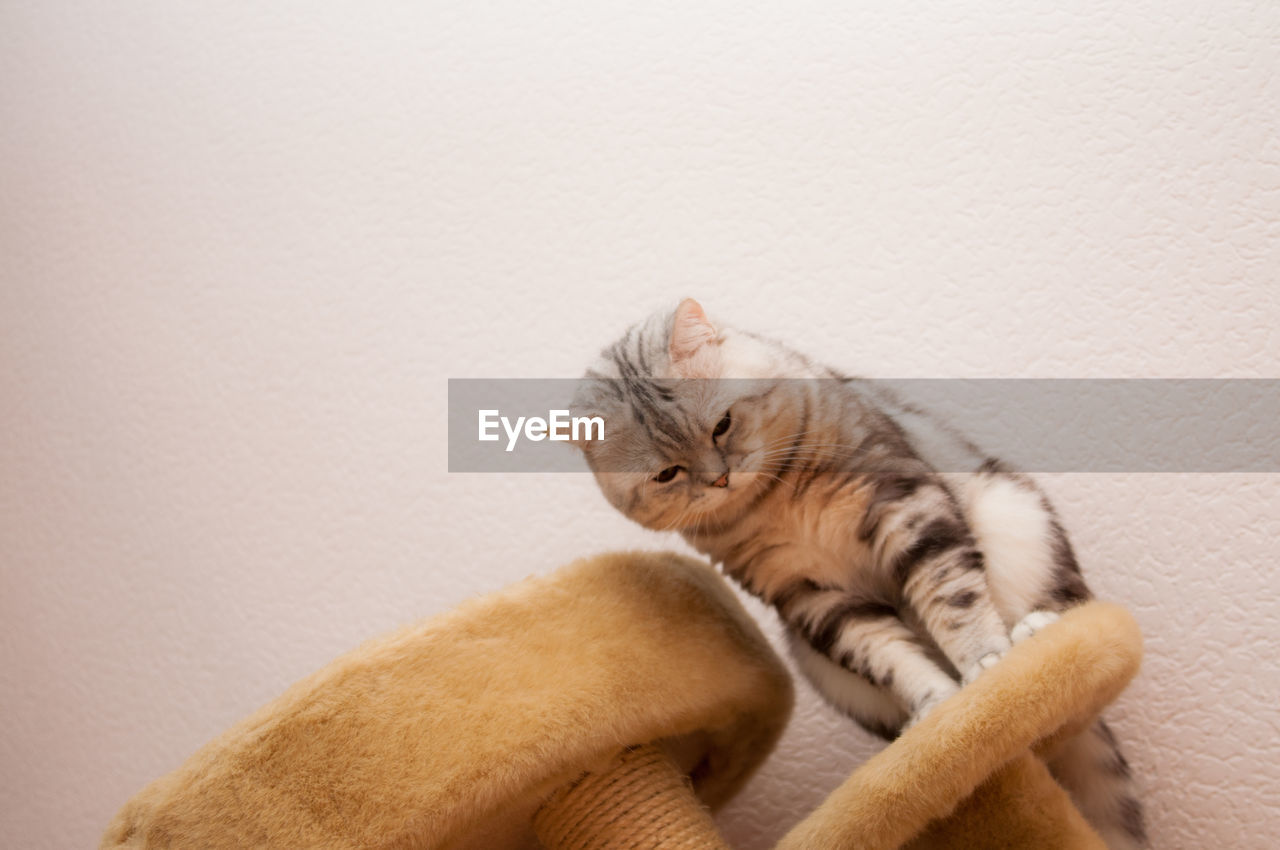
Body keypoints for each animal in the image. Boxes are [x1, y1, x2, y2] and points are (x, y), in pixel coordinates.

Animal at [570, 298, 1152, 850]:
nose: (719, 480)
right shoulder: (811, 595)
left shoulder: (905, 506)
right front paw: (939, 708)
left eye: (723, 424)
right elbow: (889, 656)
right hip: (815, 658)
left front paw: (985, 669)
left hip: (1014, 516)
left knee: (1066, 601)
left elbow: (953, 601)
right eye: (667, 474)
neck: (770, 505)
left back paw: (1034, 634)